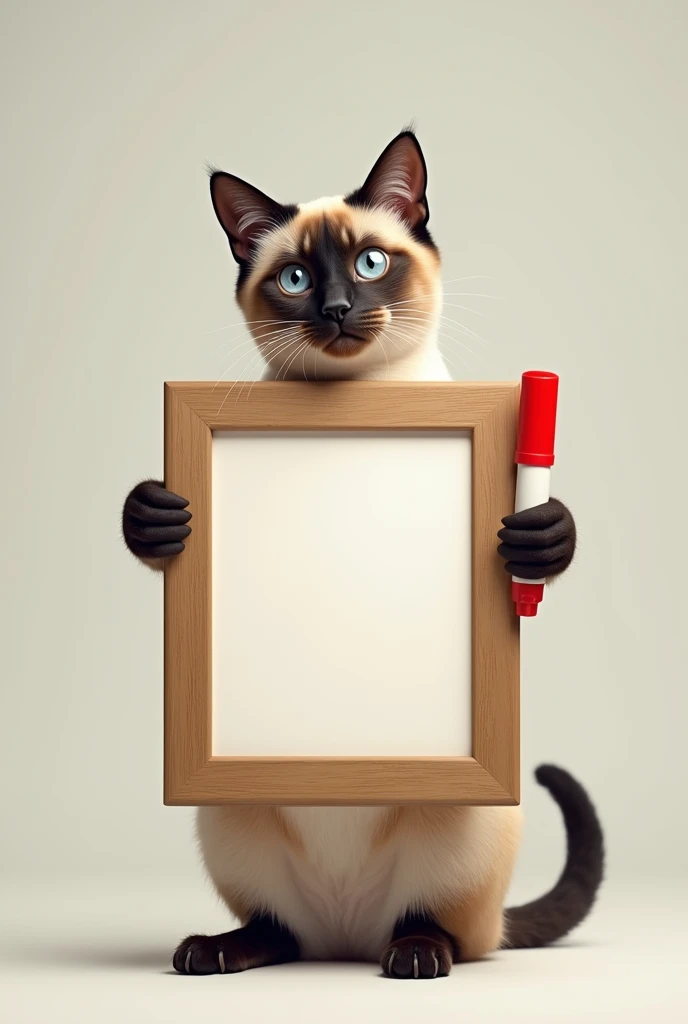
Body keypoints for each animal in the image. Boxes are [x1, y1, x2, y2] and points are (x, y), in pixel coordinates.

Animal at [122, 132, 602, 978]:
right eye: (295, 279)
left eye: (370, 264)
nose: (339, 308)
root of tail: (344, 938)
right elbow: (152, 529)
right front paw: (154, 516)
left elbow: (546, 540)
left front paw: (542, 534)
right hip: (229, 824)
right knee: (279, 929)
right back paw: (217, 951)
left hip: (465, 831)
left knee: (444, 927)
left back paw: (416, 954)